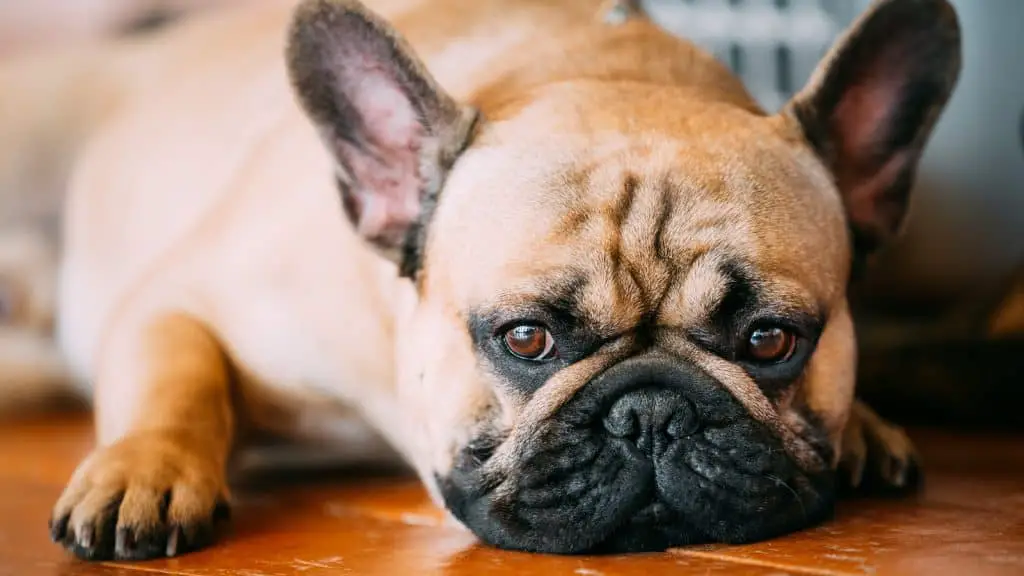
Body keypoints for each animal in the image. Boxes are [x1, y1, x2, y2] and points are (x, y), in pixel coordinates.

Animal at [14, 0, 958, 561]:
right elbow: (177, 379)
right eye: (526, 339)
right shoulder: (177, 297)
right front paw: (144, 467)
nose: (651, 412)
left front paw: (863, 425)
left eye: (770, 341)